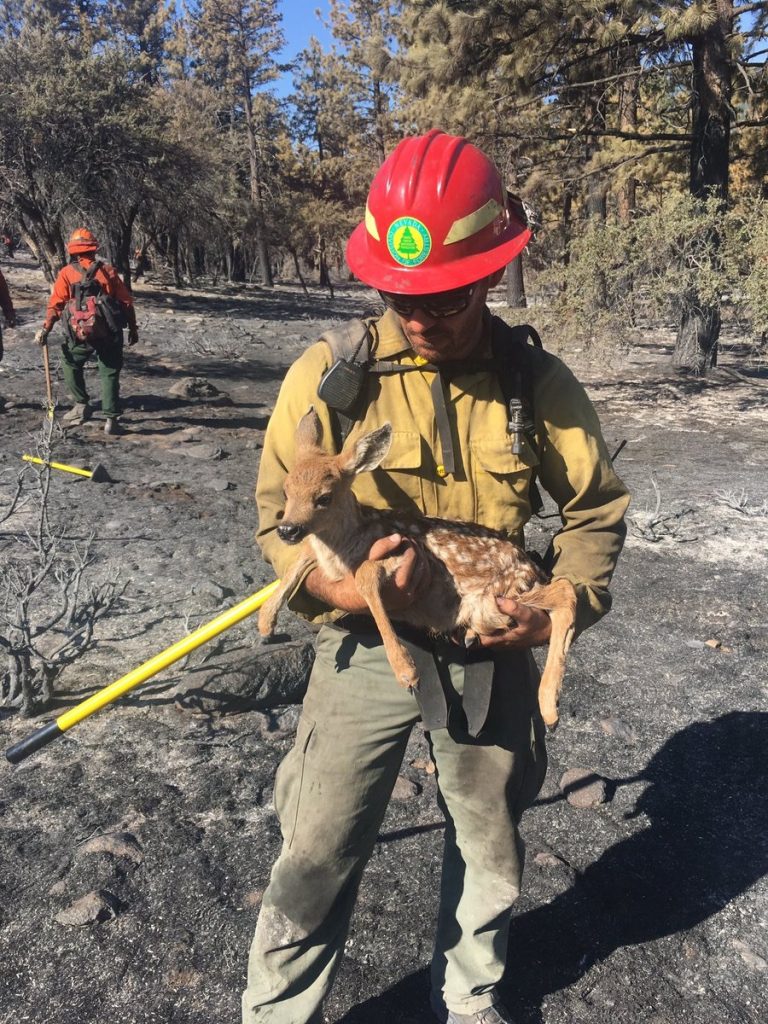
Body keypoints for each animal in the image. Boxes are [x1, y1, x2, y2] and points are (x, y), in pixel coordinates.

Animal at [258, 409, 577, 729]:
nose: (287, 529)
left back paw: (549, 708)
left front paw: (406, 672)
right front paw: (265, 622)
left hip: (503, 591)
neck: (345, 548)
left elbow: (364, 576)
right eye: (285, 492)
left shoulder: (404, 551)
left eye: (324, 497)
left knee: (565, 591)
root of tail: (531, 567)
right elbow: (301, 558)